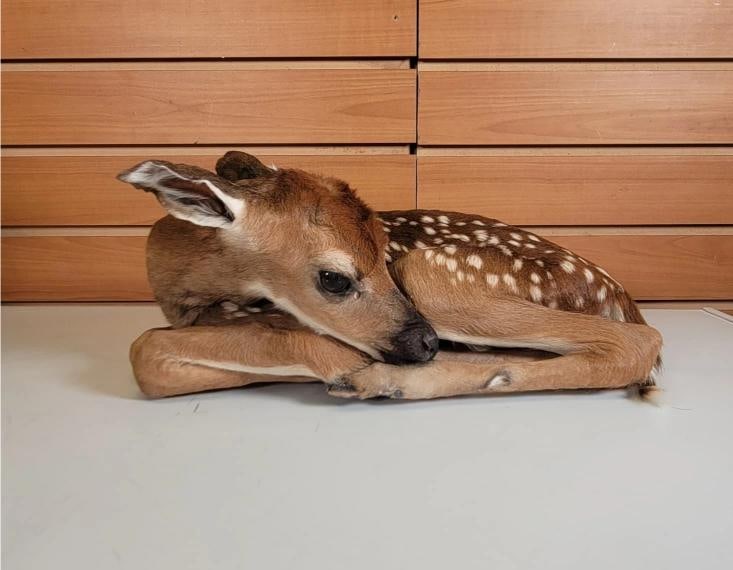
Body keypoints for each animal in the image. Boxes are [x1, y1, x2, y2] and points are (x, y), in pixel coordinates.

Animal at [117, 151, 662, 401]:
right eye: (335, 279)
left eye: (383, 251)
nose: (425, 343)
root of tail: (615, 293)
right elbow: (154, 359)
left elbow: (144, 347)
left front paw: (343, 365)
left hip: (428, 272)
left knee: (640, 341)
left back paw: (381, 380)